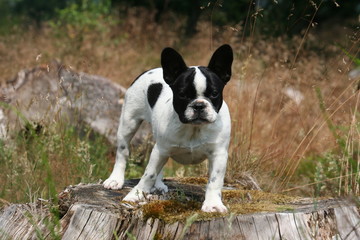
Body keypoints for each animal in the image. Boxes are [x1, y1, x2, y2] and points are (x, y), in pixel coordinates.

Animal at [104, 43, 233, 212]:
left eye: (214, 93)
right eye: (182, 94)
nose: (198, 105)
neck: (193, 128)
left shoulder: (218, 154)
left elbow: (215, 180)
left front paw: (213, 204)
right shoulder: (161, 149)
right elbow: (149, 173)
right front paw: (136, 195)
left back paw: (158, 185)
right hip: (129, 122)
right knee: (122, 152)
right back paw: (115, 179)